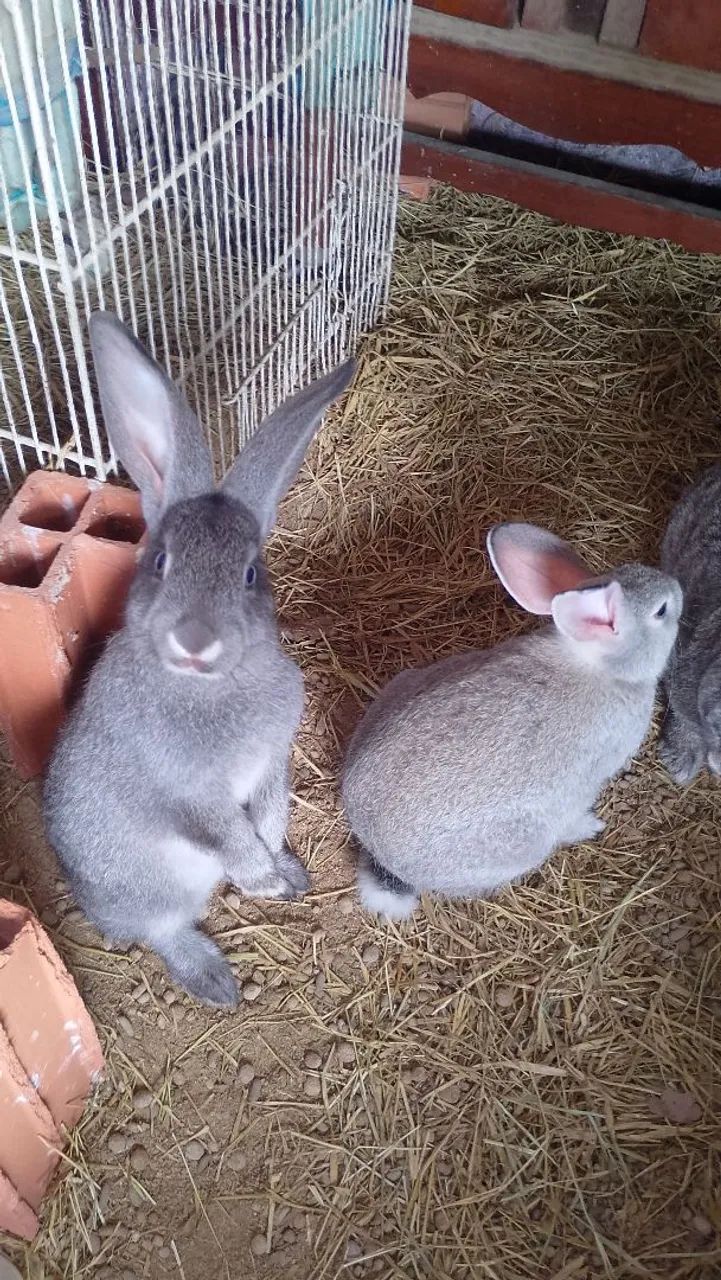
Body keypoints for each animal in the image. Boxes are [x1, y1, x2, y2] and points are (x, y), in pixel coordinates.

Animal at [44, 312, 355, 1006]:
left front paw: (280, 869)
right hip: (152, 892)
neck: (208, 684)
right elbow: (225, 832)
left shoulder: (271, 760)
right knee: (164, 931)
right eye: (160, 562)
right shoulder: (187, 791)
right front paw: (264, 880)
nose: (194, 638)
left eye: (249, 574)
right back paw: (215, 981)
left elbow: (269, 809)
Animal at [342, 522, 682, 920]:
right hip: (524, 843)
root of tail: (381, 856)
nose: (676, 586)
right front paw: (591, 825)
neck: (599, 664)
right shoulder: (585, 781)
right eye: (661, 611)